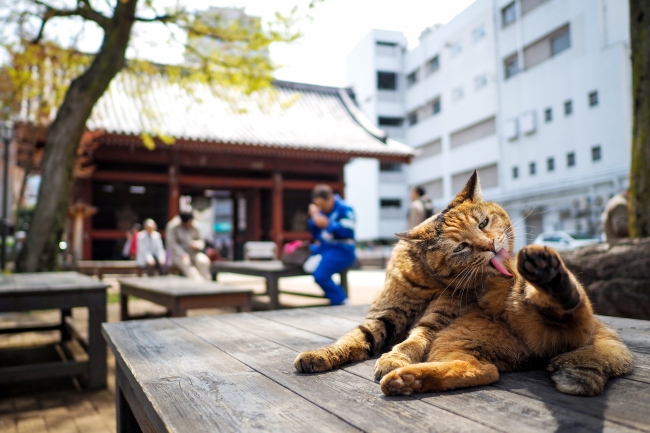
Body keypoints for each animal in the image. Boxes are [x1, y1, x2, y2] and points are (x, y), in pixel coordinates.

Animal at [296, 170, 632, 394]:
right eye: (461, 247)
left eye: (483, 223)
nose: (491, 246)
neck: (428, 278)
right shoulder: (384, 315)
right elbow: (352, 338)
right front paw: (320, 354)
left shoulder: (437, 320)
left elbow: (413, 340)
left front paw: (395, 358)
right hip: (462, 341)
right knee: (485, 370)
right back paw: (407, 381)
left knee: (569, 305)